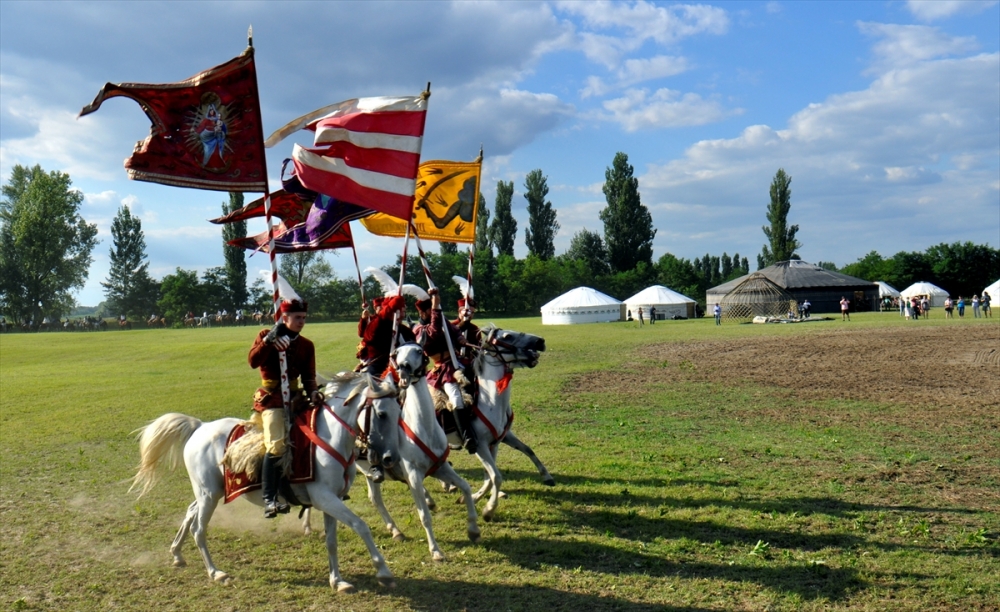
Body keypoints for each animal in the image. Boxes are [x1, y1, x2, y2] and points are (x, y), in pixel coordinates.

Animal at [130, 372, 402, 592]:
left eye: (400, 412)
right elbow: (360, 525)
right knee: (199, 529)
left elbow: (331, 541)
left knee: (190, 511)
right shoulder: (324, 498)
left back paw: (177, 554)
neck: (330, 438)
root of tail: (200, 427)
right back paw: (216, 573)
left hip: (209, 492)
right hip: (209, 495)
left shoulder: (331, 499)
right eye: (381, 413)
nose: (390, 457)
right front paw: (383, 571)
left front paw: (338, 581)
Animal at [352, 342, 484, 560]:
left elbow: (465, 487)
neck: (423, 427)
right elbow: (424, 516)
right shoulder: (413, 475)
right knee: (376, 499)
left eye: (419, 351)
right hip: (367, 471)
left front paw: (473, 530)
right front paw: (436, 551)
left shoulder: (440, 468)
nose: (403, 368)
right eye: (397, 353)